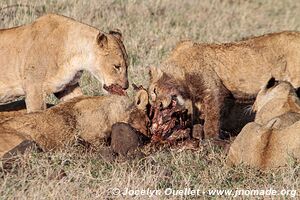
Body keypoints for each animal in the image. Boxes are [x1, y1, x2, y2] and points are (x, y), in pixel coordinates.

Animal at [149, 31, 300, 138]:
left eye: (154, 91)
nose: (159, 106)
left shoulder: (213, 90)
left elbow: (211, 120)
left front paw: (211, 140)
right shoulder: (198, 98)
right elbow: (197, 118)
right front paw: (196, 135)